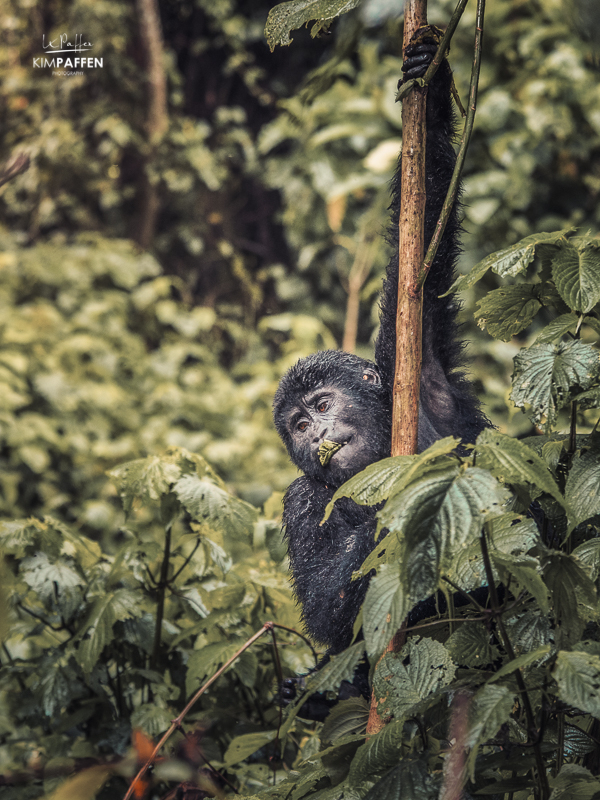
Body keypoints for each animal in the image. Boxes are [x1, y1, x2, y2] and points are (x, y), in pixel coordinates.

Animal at [274, 32, 490, 708]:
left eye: (322, 405)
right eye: (298, 426)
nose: (317, 433)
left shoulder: (414, 368)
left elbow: (421, 253)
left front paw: (432, 83)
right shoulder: (298, 499)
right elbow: (328, 603)